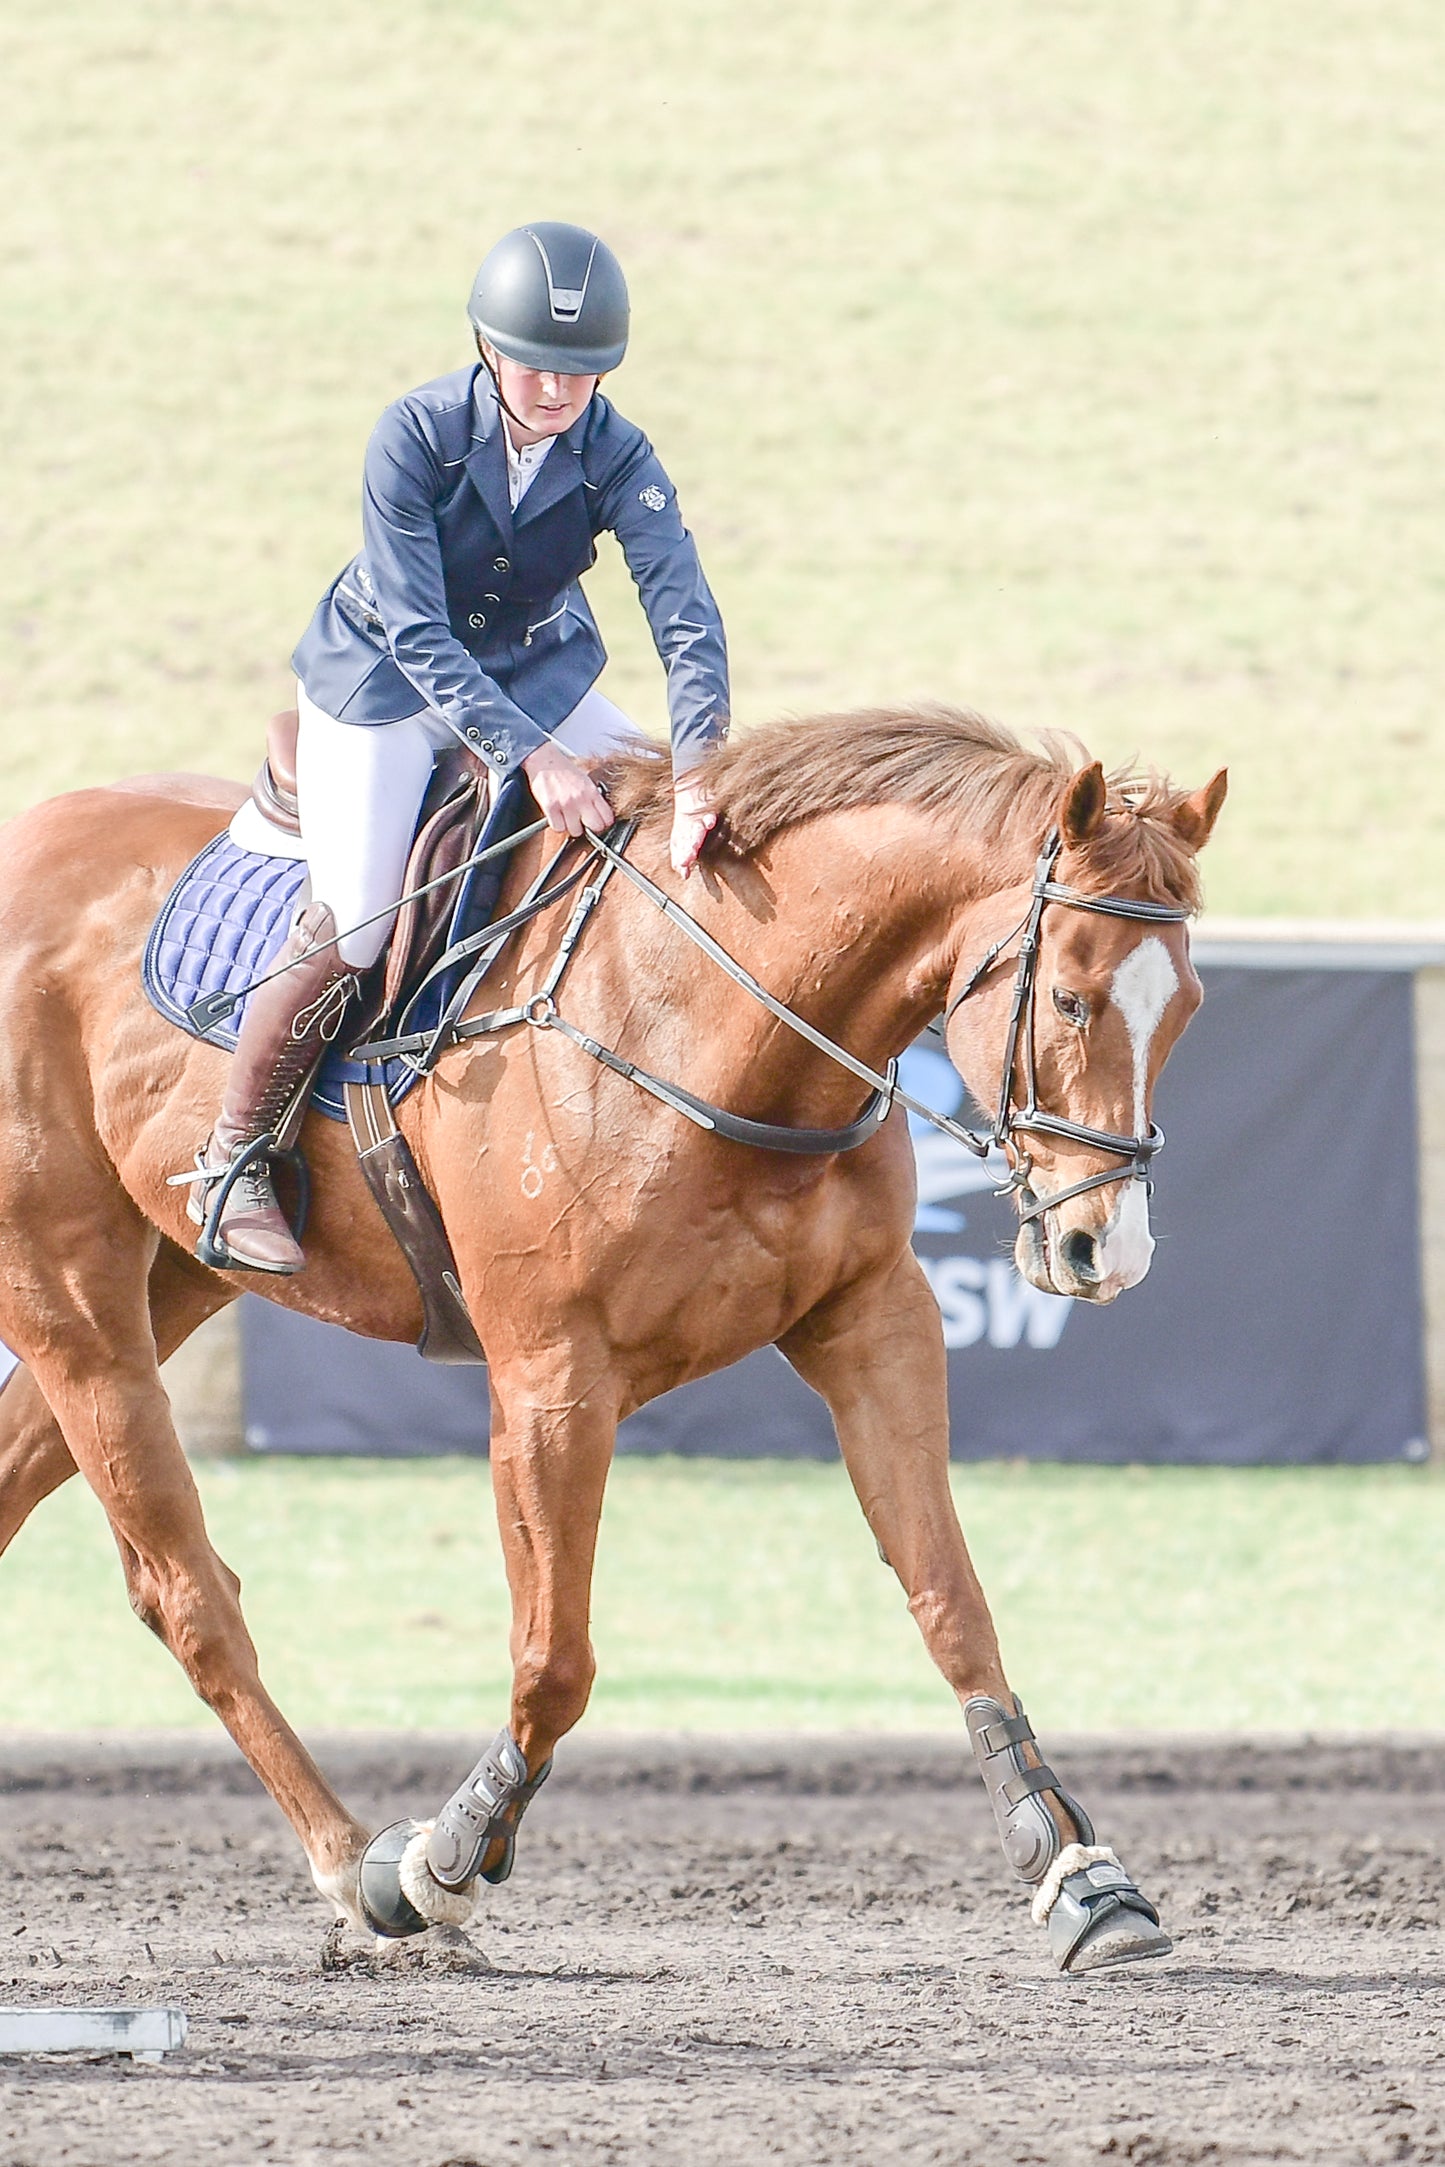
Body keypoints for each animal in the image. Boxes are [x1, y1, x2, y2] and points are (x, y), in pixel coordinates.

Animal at [0, 710, 1230, 1984]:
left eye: (1186, 1004)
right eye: (1073, 1000)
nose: (1103, 1248)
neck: (716, 1020)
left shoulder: (871, 1322)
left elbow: (950, 1601)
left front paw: (1076, 1871)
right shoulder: (551, 1378)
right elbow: (554, 1657)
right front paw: (447, 1855)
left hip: (162, 1286)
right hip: (68, 1293)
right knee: (183, 1590)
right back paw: (351, 1863)